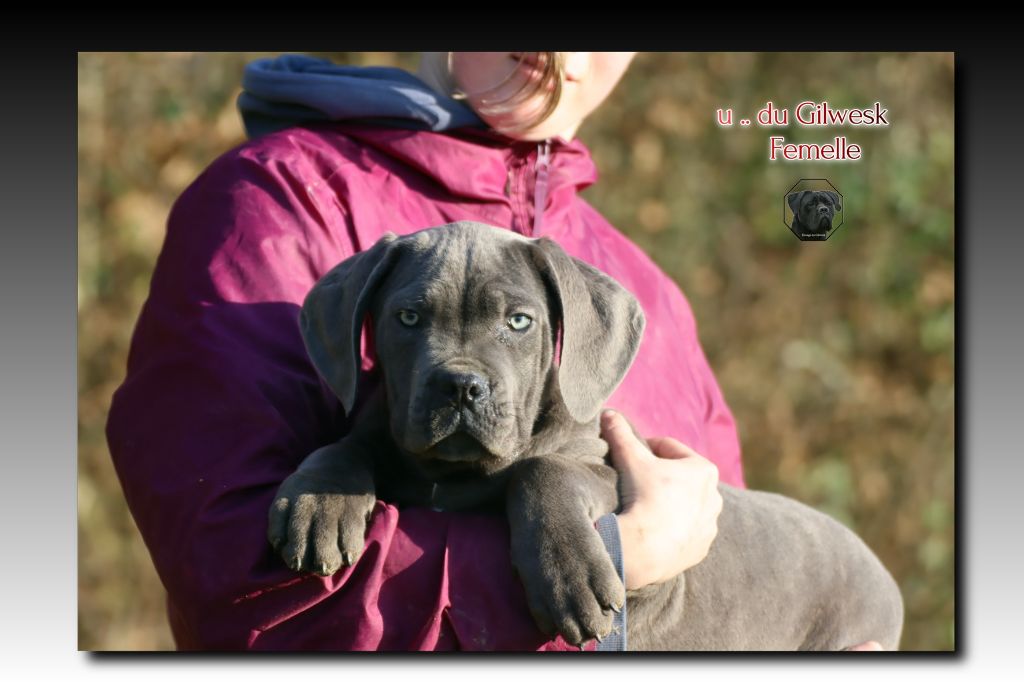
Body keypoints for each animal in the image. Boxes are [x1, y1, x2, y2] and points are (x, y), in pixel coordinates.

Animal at [268, 221, 903, 650]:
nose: (461, 387)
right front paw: (320, 501)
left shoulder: (608, 468)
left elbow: (542, 469)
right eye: (407, 318)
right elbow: (348, 444)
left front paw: (569, 575)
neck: (455, 475)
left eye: (519, 322)